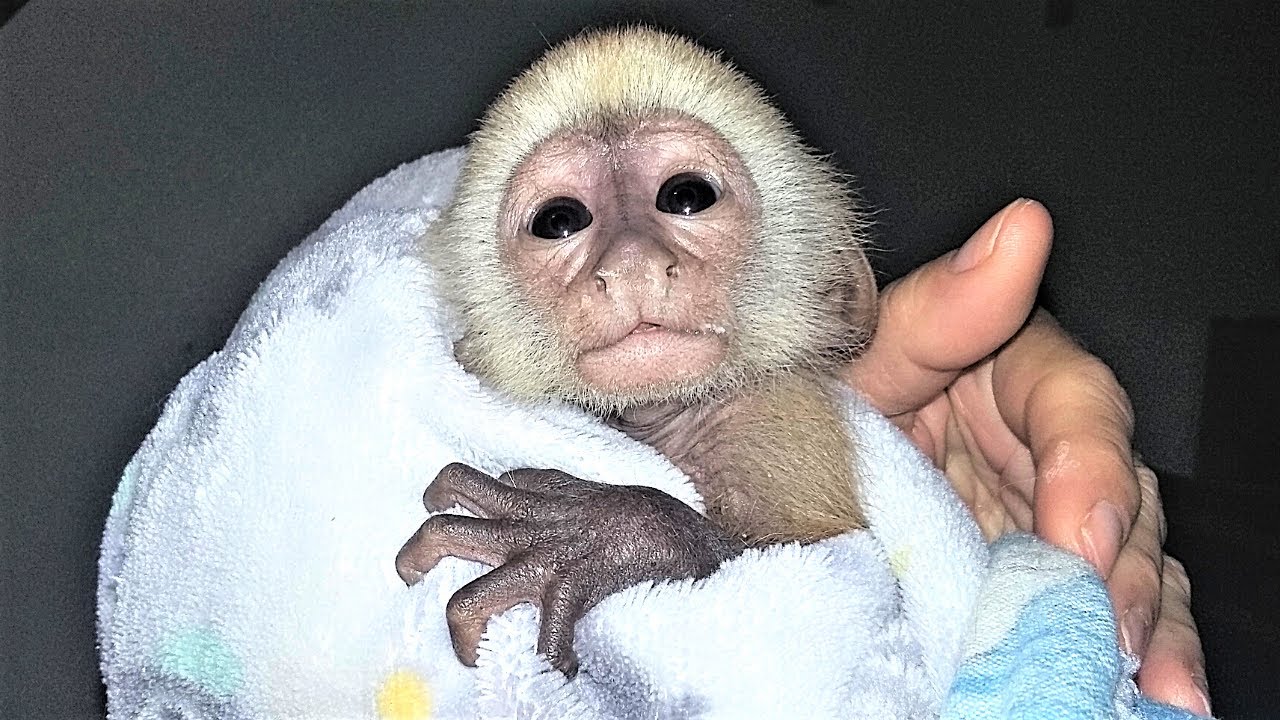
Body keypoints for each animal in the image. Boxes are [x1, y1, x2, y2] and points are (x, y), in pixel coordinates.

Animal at [395, 27, 880, 676]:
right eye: (558, 221)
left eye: (687, 196)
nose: (631, 263)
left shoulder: (773, 422)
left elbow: (813, 570)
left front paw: (606, 532)